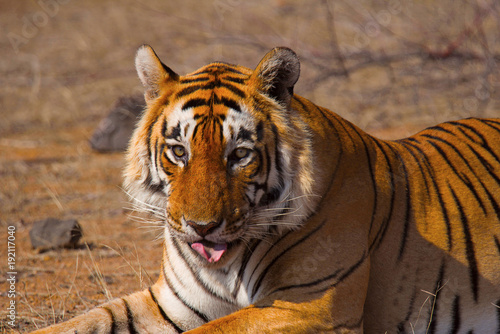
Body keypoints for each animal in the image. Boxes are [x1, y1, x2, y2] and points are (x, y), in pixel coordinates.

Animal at [33, 45, 500, 334]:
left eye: (239, 155)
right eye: (179, 151)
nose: (201, 228)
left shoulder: (311, 307)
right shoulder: (171, 303)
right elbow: (89, 319)